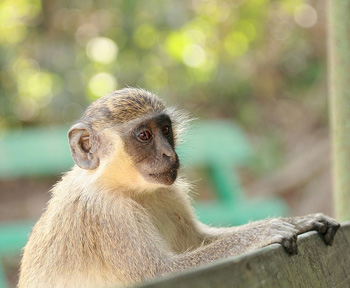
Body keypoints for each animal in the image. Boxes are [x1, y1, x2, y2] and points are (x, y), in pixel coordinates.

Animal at [18, 88, 340, 288]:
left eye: (165, 130)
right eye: (144, 136)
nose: (169, 155)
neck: (121, 186)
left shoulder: (169, 192)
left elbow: (198, 239)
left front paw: (297, 221)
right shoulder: (107, 213)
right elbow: (162, 273)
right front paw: (264, 232)